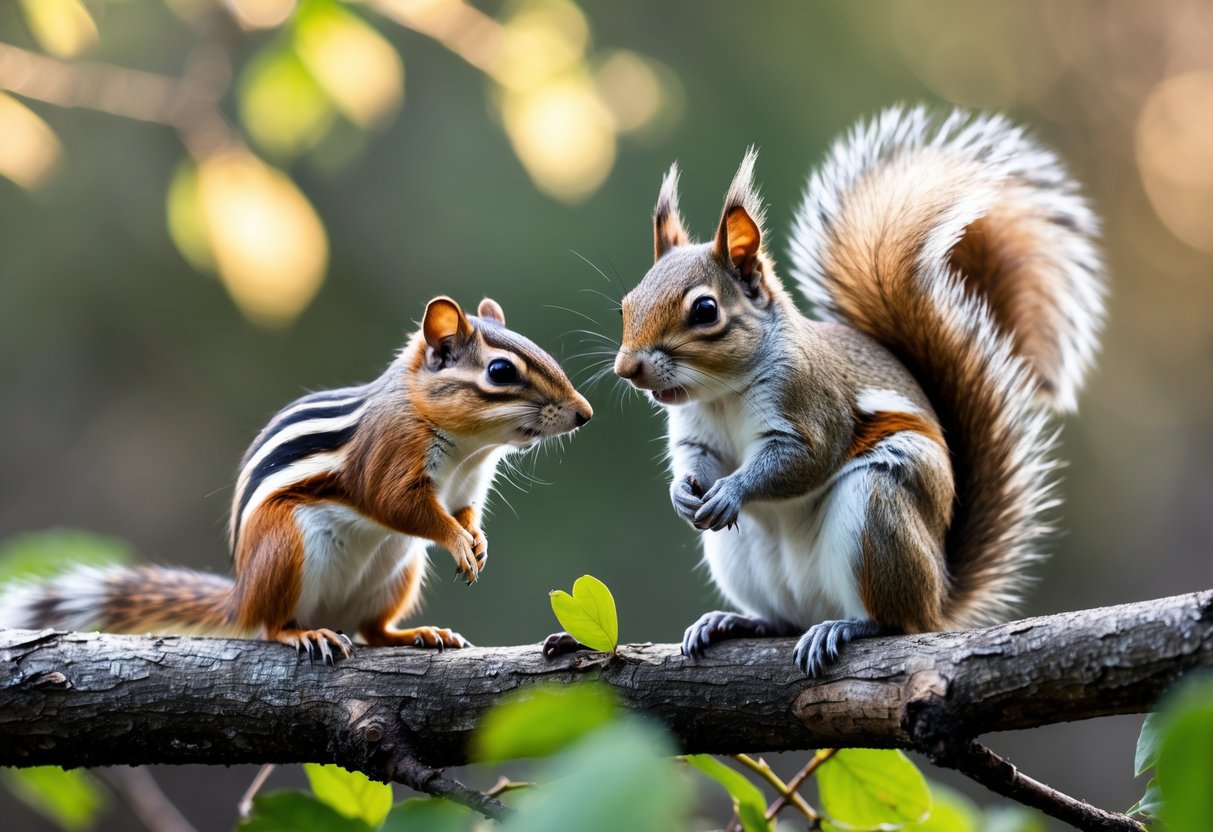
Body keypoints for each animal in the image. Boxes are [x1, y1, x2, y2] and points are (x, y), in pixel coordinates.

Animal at [0, 296, 592, 663]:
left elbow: (466, 513)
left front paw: (478, 541)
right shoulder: (388, 457)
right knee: (271, 626)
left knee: (373, 630)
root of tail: (241, 595)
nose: (584, 414)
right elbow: (398, 506)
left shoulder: (469, 486)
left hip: (398, 570)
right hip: (288, 546)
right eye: (500, 371)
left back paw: (419, 633)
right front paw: (458, 542)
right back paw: (304, 632)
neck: (470, 449)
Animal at [608, 107, 1105, 676]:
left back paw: (845, 626)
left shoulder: (810, 405)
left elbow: (802, 459)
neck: (722, 393)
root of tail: (939, 597)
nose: (627, 368)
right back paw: (734, 622)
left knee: (895, 621)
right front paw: (682, 494)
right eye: (626, 304)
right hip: (743, 559)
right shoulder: (697, 433)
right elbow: (696, 460)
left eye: (706, 310)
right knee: (783, 619)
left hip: (876, 513)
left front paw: (733, 490)